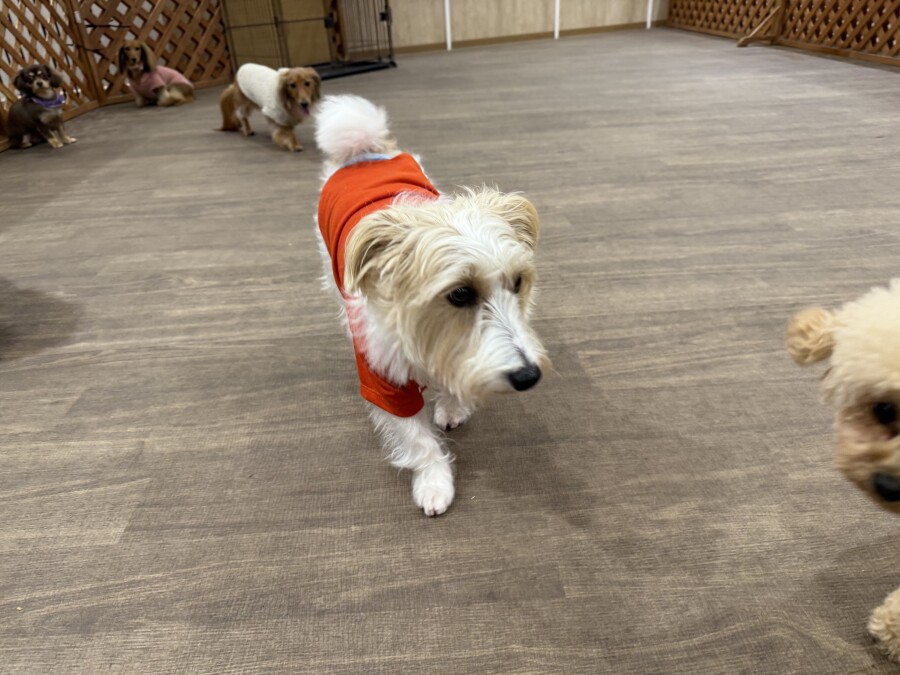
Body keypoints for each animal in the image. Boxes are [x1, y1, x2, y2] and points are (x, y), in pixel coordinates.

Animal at [313, 95, 549, 516]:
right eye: (460, 294)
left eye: (518, 283)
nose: (529, 377)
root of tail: (365, 150)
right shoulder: (384, 382)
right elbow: (417, 440)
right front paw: (435, 483)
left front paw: (452, 407)